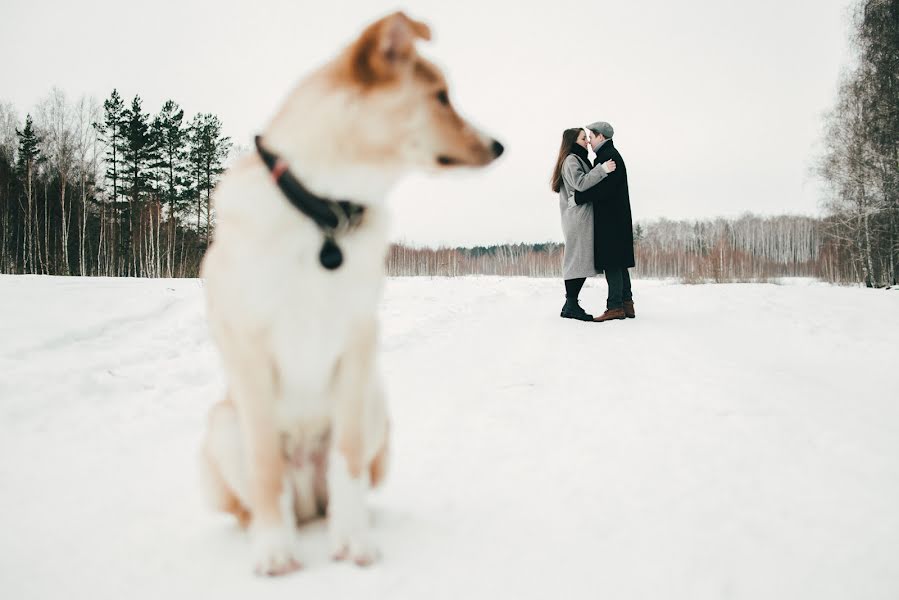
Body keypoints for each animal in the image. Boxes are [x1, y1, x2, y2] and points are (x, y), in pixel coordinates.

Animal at [200, 11, 502, 576]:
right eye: (440, 96)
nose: (499, 146)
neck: (324, 213)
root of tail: (307, 497)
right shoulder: (249, 348)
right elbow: (265, 467)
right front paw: (274, 550)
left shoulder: (359, 343)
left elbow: (349, 461)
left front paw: (354, 541)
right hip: (222, 423)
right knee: (261, 494)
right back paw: (272, 529)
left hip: (375, 400)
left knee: (345, 484)